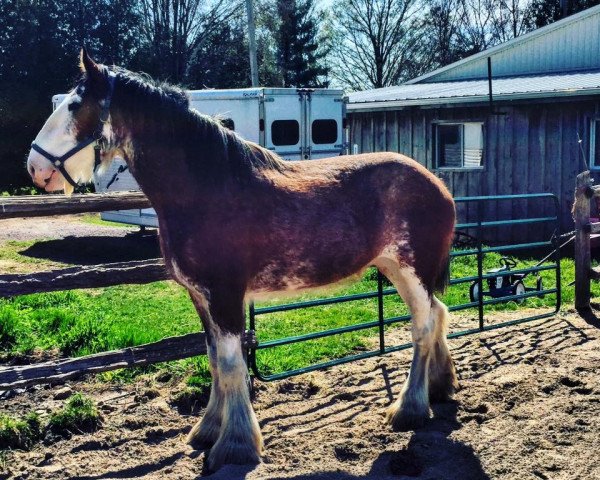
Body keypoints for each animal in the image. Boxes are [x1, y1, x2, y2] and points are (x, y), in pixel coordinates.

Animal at [28, 50, 458, 470]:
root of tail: (437, 184)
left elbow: (233, 365)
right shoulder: (200, 296)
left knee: (422, 326)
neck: (206, 189)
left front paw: (235, 445)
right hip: (395, 269)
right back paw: (439, 388)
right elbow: (215, 360)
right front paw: (207, 429)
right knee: (437, 313)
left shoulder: (226, 295)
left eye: (74, 105)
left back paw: (409, 409)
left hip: (412, 271)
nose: (36, 168)